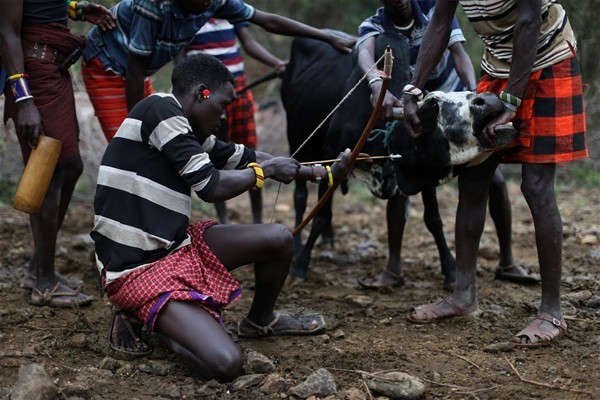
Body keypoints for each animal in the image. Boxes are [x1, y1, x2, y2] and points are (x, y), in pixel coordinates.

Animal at [278, 31, 512, 288]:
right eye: (433, 102)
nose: (488, 99)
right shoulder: (333, 157)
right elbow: (321, 216)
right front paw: (300, 266)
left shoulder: (421, 173)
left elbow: (433, 220)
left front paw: (450, 269)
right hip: (298, 144)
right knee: (300, 198)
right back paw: (297, 245)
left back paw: (328, 239)